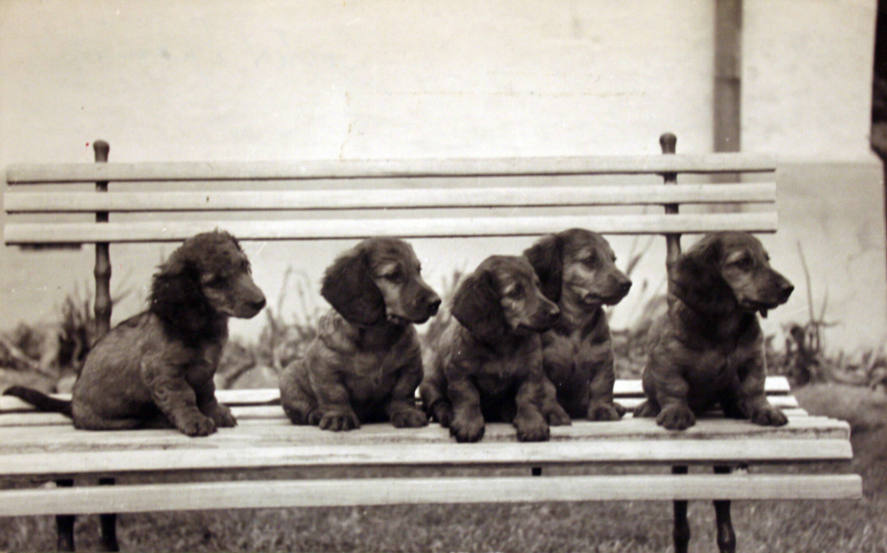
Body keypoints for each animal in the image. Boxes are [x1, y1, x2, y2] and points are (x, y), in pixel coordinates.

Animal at [4, 230, 268, 436]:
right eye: (217, 281)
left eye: (244, 266)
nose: (261, 302)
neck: (202, 327)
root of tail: (72, 408)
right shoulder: (164, 372)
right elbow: (185, 397)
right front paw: (195, 420)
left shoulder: (205, 372)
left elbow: (207, 395)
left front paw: (216, 413)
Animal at [280, 237, 440, 432]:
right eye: (393, 275)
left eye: (418, 270)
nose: (436, 302)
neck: (377, 338)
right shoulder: (324, 366)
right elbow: (334, 394)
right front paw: (339, 416)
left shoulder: (411, 365)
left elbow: (402, 392)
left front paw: (406, 412)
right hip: (289, 378)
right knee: (304, 409)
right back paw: (317, 414)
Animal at [422, 253, 572, 440]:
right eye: (515, 292)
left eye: (537, 286)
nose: (556, 312)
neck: (503, 344)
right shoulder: (459, 372)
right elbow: (468, 396)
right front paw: (468, 423)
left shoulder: (531, 371)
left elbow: (528, 397)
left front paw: (532, 423)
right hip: (430, 382)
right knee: (438, 402)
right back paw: (447, 414)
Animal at [528, 227, 632, 418]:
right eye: (589, 260)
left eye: (613, 260)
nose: (627, 283)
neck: (577, 321)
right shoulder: (542, 367)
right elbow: (547, 391)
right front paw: (553, 412)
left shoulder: (603, 360)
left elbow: (601, 388)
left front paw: (604, 409)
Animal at [636, 231, 796, 430]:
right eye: (743, 262)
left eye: (767, 260)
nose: (789, 288)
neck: (725, 326)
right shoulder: (666, 359)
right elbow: (674, 387)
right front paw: (676, 412)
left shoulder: (755, 359)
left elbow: (755, 388)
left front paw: (765, 410)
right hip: (647, 376)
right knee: (654, 396)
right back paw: (649, 407)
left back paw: (738, 407)